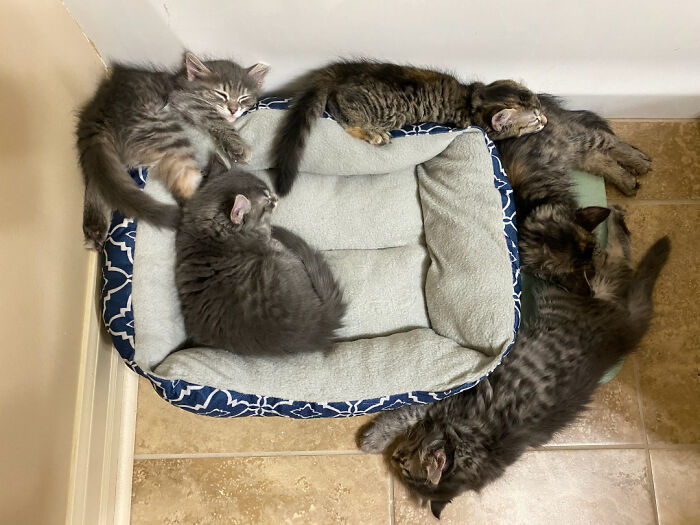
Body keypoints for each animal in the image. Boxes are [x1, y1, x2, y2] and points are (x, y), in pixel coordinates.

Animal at [77, 51, 270, 250]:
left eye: (243, 98)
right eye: (220, 94)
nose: (233, 110)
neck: (182, 81)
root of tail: (98, 112)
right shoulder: (184, 99)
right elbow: (216, 119)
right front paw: (238, 147)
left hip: (111, 156)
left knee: (99, 181)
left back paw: (94, 228)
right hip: (166, 133)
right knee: (186, 190)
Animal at [270, 59, 544, 194]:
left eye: (540, 109)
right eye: (534, 119)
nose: (545, 120)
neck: (473, 97)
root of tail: (342, 72)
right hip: (381, 108)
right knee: (340, 108)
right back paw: (373, 133)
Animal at [358, 205, 668, 516]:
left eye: (404, 465)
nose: (395, 456)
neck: (475, 441)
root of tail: (625, 333)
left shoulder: (447, 399)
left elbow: (403, 414)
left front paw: (372, 440)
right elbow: (403, 415)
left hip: (569, 288)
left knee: (614, 258)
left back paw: (613, 221)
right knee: (616, 257)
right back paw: (618, 219)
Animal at [494, 93, 652, 290]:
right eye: (596, 252)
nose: (603, 260)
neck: (531, 209)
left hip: (575, 139)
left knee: (608, 141)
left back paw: (640, 162)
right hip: (571, 151)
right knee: (601, 160)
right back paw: (628, 181)